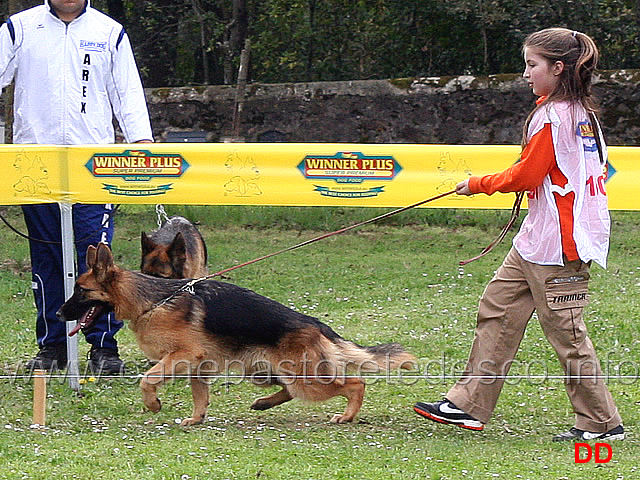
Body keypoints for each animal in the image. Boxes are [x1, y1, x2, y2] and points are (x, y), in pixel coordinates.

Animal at [57, 246, 418, 426]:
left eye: (81, 291)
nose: (58, 315)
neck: (152, 300)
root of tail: (314, 323)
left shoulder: (181, 357)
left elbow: (148, 379)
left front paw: (154, 404)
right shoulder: (197, 367)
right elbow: (200, 397)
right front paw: (196, 419)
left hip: (306, 380)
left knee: (355, 384)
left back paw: (347, 415)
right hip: (263, 372)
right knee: (287, 391)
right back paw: (263, 404)